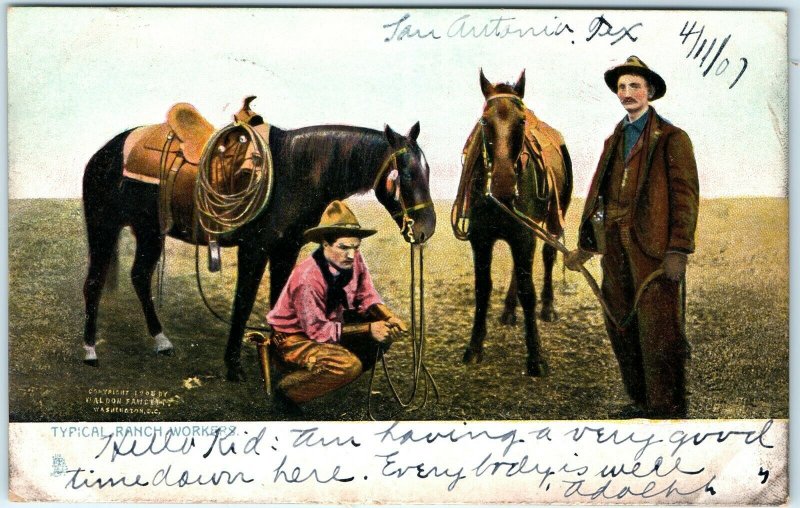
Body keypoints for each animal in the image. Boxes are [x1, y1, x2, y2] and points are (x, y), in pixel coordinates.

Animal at [81, 102, 434, 380]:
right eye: (405, 174)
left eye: (427, 170)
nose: (426, 228)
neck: (296, 171)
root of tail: (105, 151)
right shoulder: (254, 250)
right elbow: (244, 302)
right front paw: (233, 366)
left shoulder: (286, 249)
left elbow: (280, 296)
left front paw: (284, 356)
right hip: (103, 227)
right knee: (94, 283)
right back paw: (89, 350)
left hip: (149, 231)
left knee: (140, 277)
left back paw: (161, 341)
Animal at [454, 69, 572, 376]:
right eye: (485, 121)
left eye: (520, 121)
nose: (504, 184)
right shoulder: (481, 239)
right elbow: (483, 288)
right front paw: (474, 346)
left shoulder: (524, 236)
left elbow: (528, 291)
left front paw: (536, 357)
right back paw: (508, 310)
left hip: (551, 221)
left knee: (548, 256)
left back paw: (548, 307)